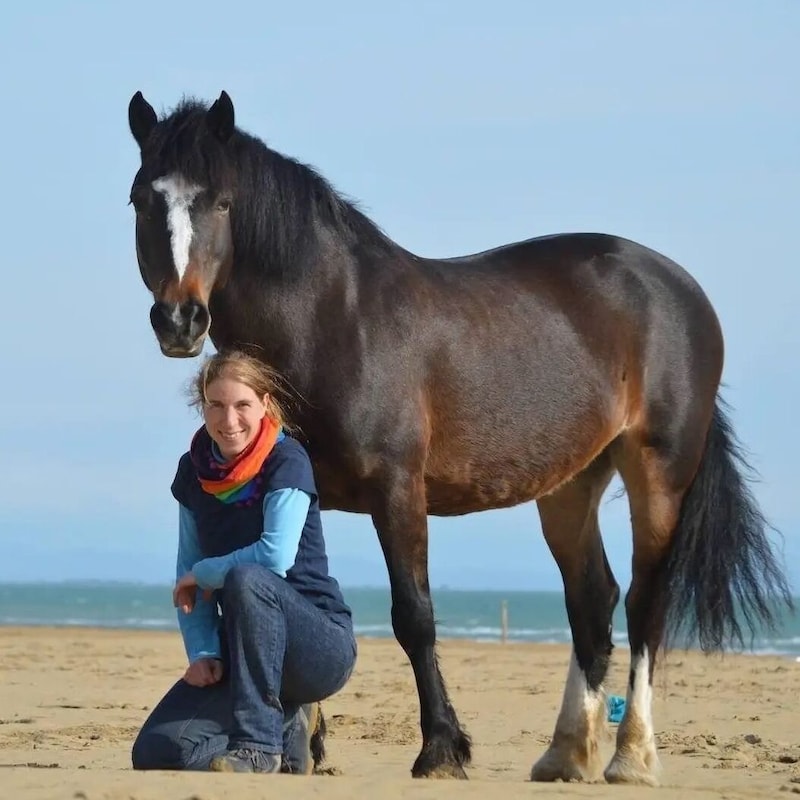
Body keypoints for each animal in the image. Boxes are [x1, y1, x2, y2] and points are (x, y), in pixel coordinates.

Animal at [126, 90, 792, 784]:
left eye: (222, 202)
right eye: (142, 199)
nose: (180, 320)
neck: (335, 319)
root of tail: (677, 287)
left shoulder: (398, 491)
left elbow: (413, 616)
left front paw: (442, 748)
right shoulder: (307, 494)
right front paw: (303, 746)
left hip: (658, 475)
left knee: (644, 604)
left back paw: (631, 756)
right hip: (570, 485)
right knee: (591, 601)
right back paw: (564, 753)